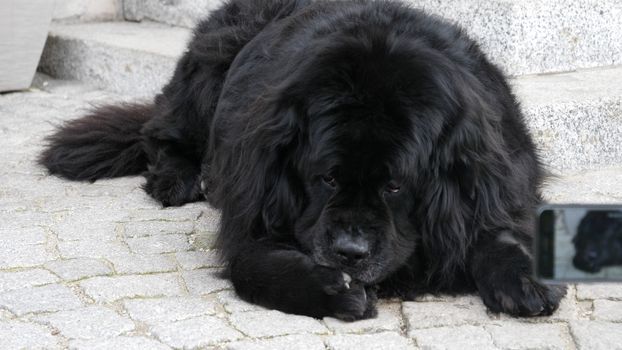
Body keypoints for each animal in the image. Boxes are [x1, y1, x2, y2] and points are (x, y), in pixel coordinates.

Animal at [37, 0, 564, 320]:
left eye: (395, 186)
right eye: (326, 179)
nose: (350, 251)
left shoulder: (492, 181)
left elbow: (498, 231)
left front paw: (526, 278)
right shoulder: (255, 201)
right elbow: (252, 265)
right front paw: (332, 289)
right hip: (205, 75)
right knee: (161, 132)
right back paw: (179, 178)